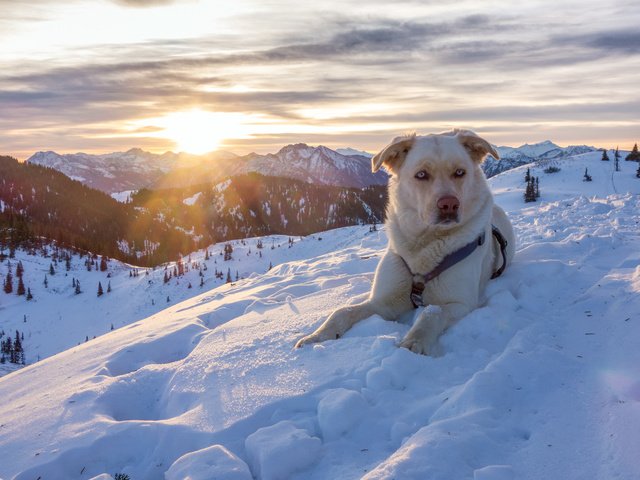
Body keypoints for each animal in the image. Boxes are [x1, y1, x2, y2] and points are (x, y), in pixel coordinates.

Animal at [296, 129, 516, 354]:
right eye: (421, 175)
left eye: (460, 172)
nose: (449, 204)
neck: (424, 245)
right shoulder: (385, 301)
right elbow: (342, 311)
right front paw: (317, 336)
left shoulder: (460, 303)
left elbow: (431, 313)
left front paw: (413, 344)